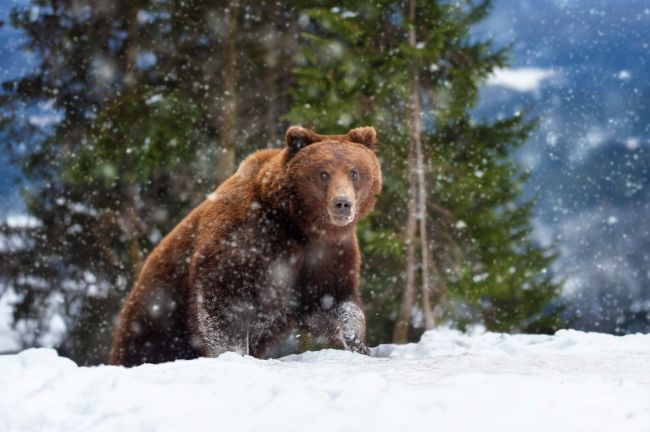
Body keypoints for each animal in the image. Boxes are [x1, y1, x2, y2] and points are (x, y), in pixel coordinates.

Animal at [106, 126, 380, 366]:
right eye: (323, 173)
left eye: (354, 172)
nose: (342, 203)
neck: (298, 224)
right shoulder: (245, 238)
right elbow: (222, 302)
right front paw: (234, 354)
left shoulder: (327, 254)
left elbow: (330, 300)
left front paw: (357, 341)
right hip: (158, 314)